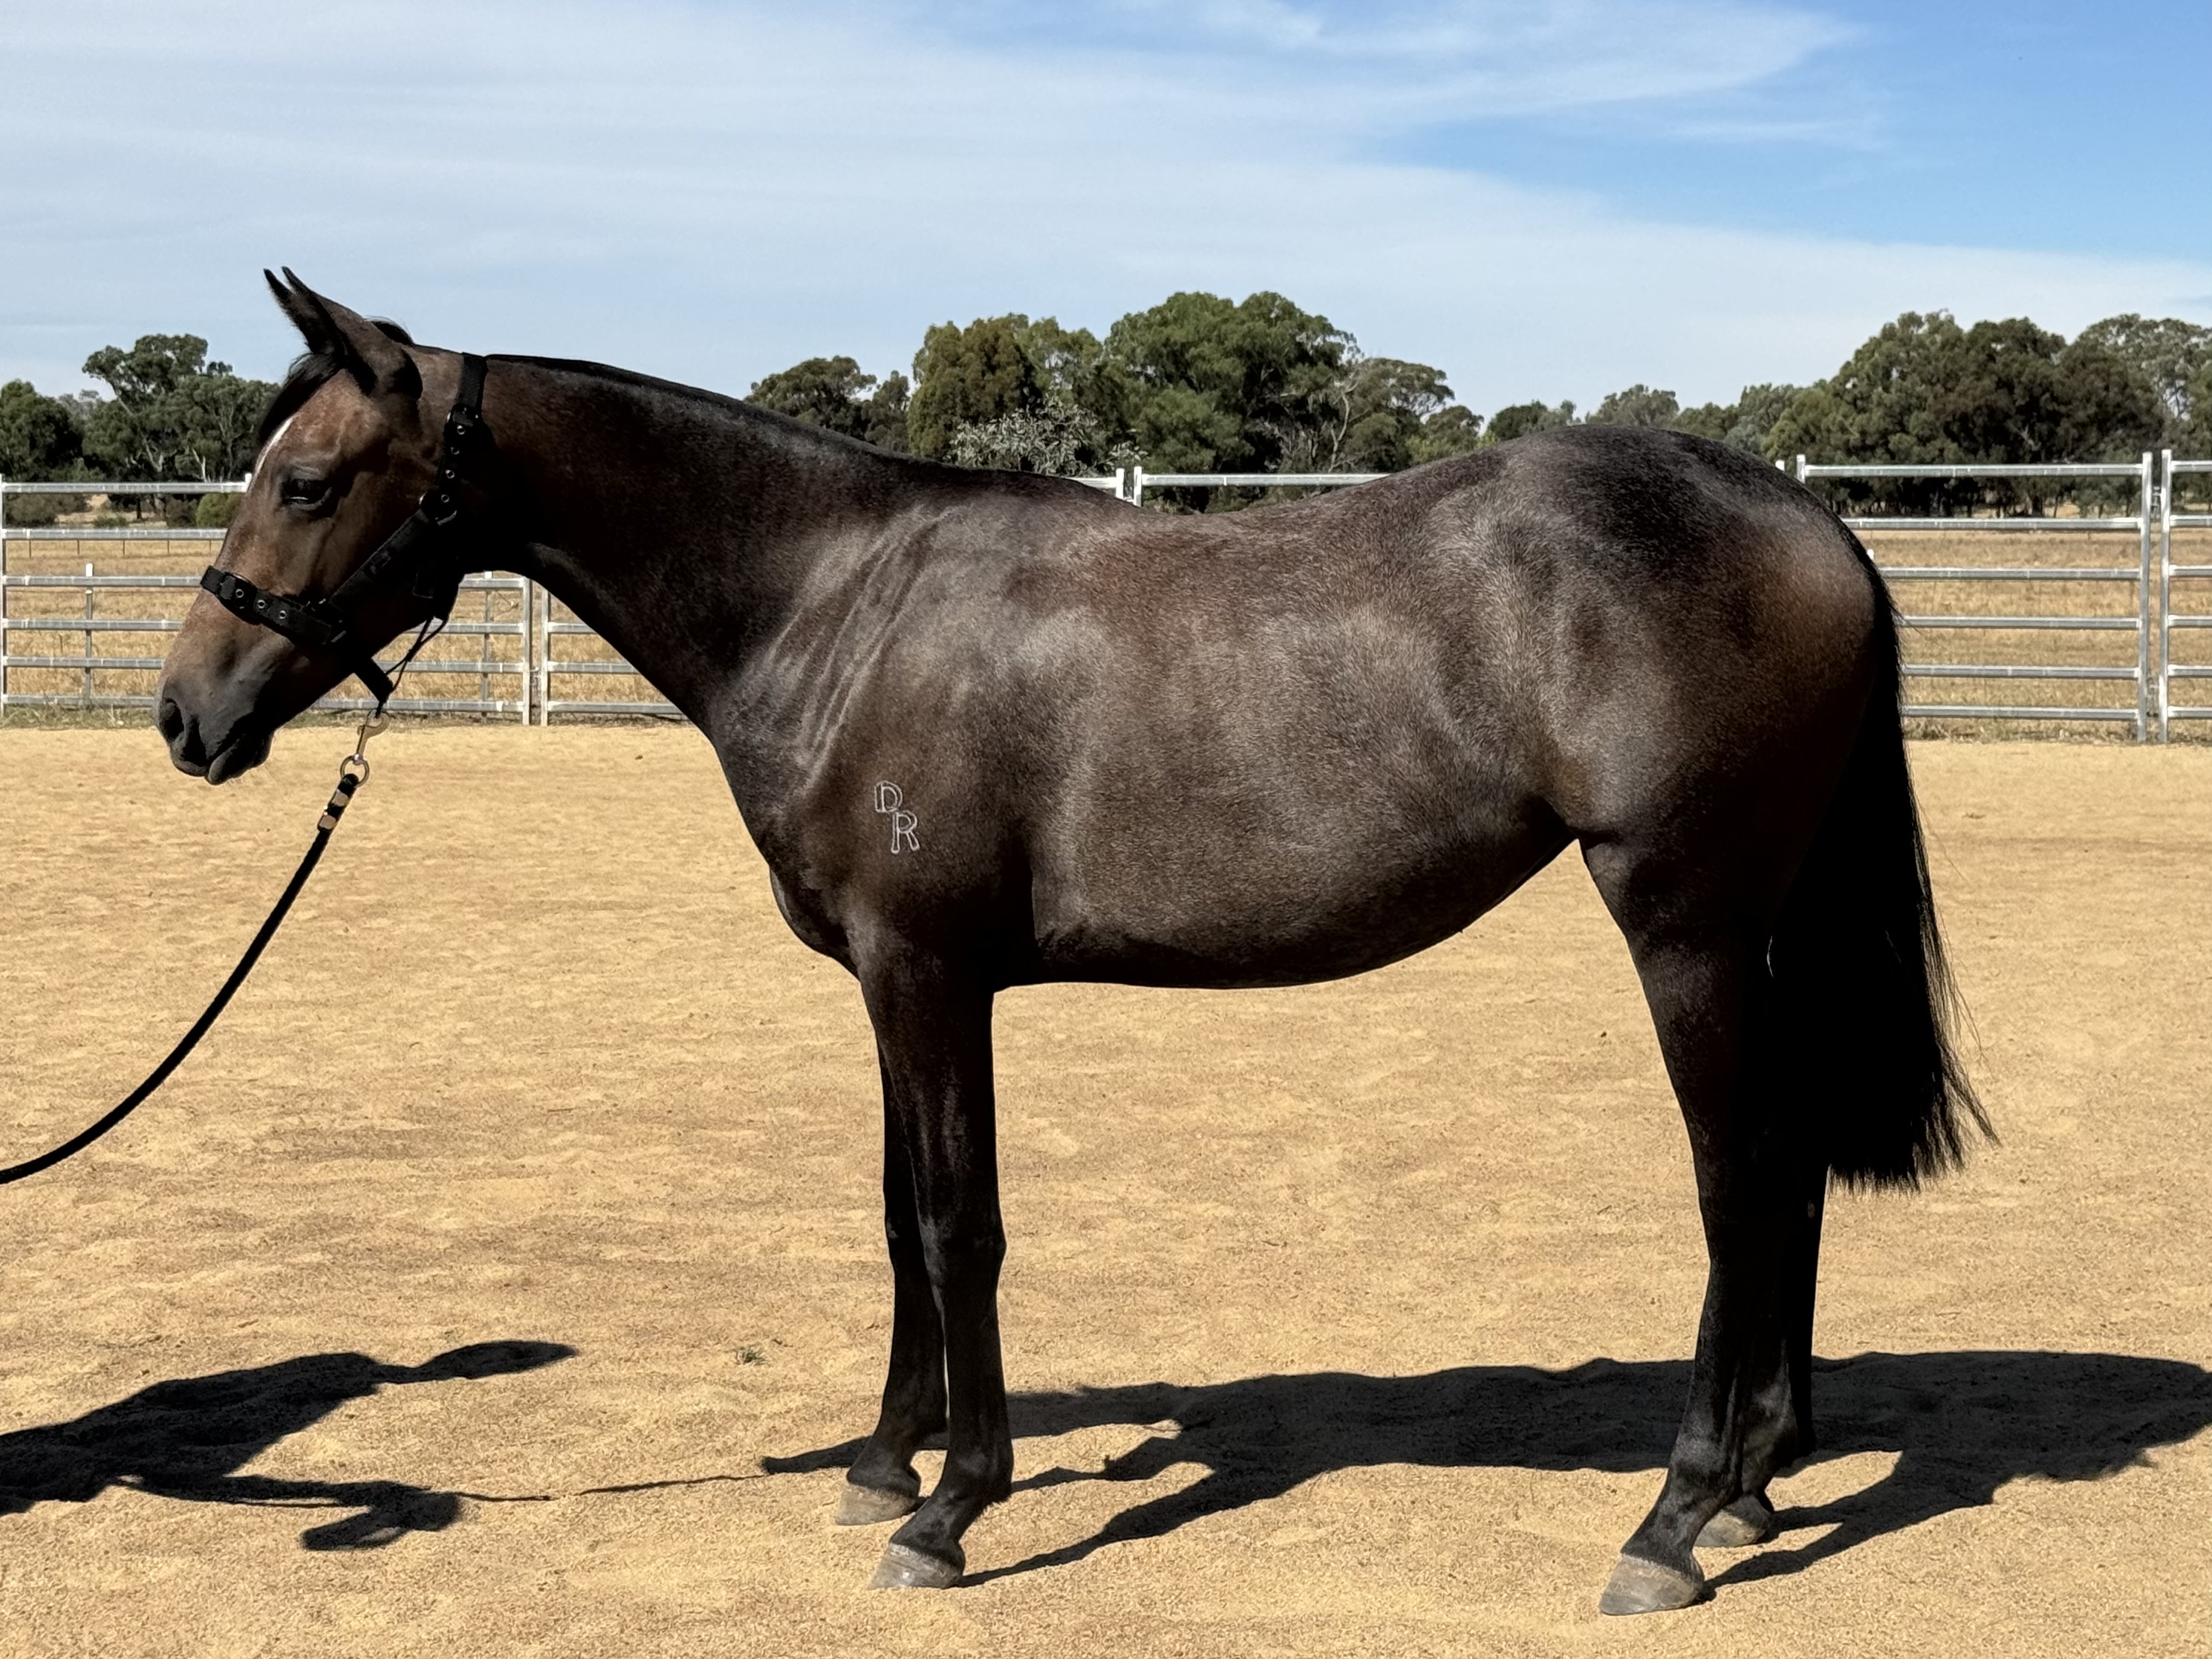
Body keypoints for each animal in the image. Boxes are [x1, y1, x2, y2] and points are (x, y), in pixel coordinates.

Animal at [155, 272, 1980, 1614]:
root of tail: (1810, 523)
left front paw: (952, 1505)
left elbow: (958, 1223)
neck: (836, 603)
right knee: (1790, 1169)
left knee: (1741, 1182)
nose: (187, 714)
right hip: (1753, 931)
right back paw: (1755, 1483)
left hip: (1681, 924)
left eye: (305, 480)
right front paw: (879, 1463)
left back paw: (1673, 1520)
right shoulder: (886, 986)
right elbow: (896, 1214)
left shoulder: (930, 972)